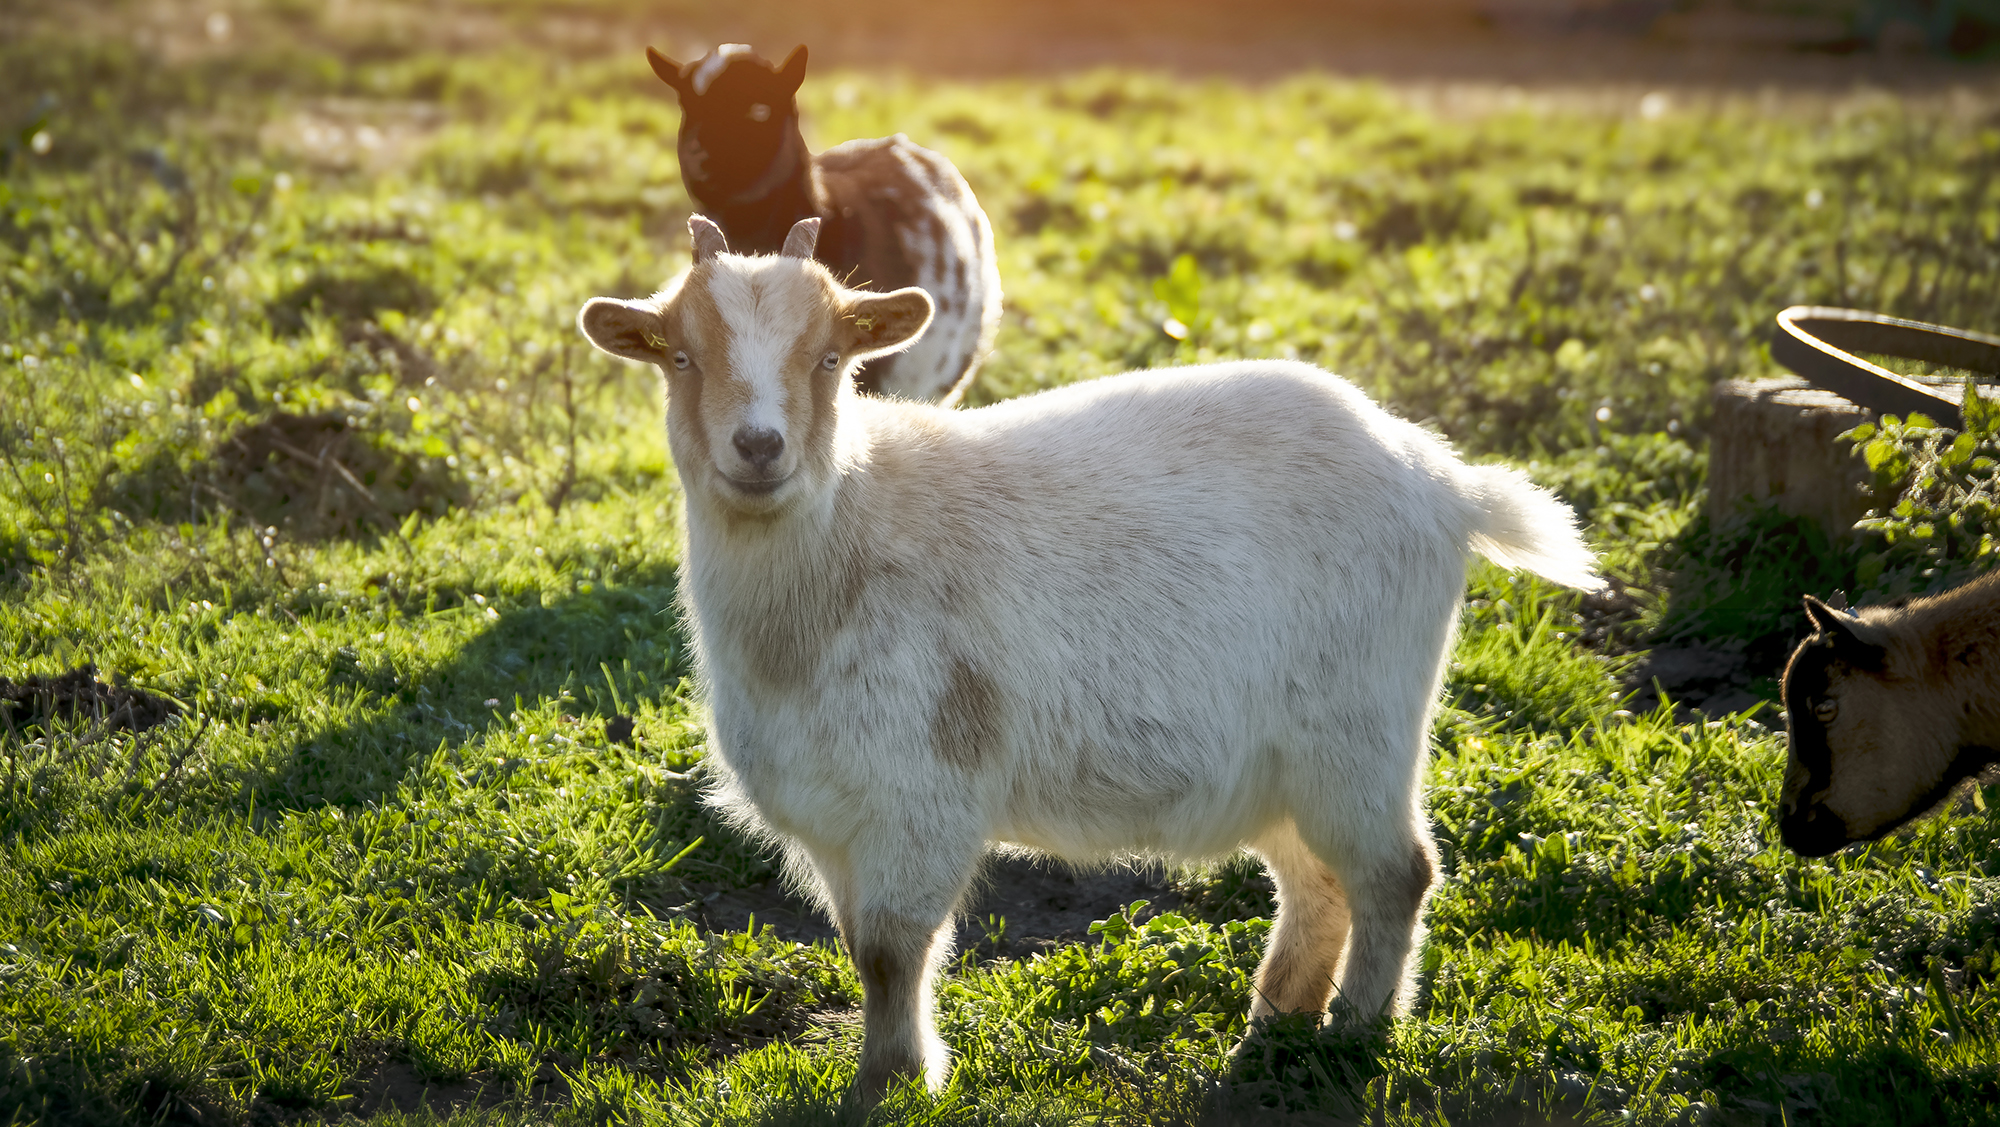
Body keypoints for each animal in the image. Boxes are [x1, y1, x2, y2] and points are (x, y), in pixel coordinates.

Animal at [580, 215, 1608, 1103]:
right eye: (681, 354)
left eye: (830, 356)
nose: (760, 446)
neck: (842, 539)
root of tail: (1441, 479)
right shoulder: (833, 816)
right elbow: (862, 946)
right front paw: (887, 1074)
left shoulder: (925, 791)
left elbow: (895, 947)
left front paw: (895, 1083)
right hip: (1280, 762)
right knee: (1317, 880)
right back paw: (1271, 1033)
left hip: (1360, 730)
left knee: (1397, 873)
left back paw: (1353, 1034)